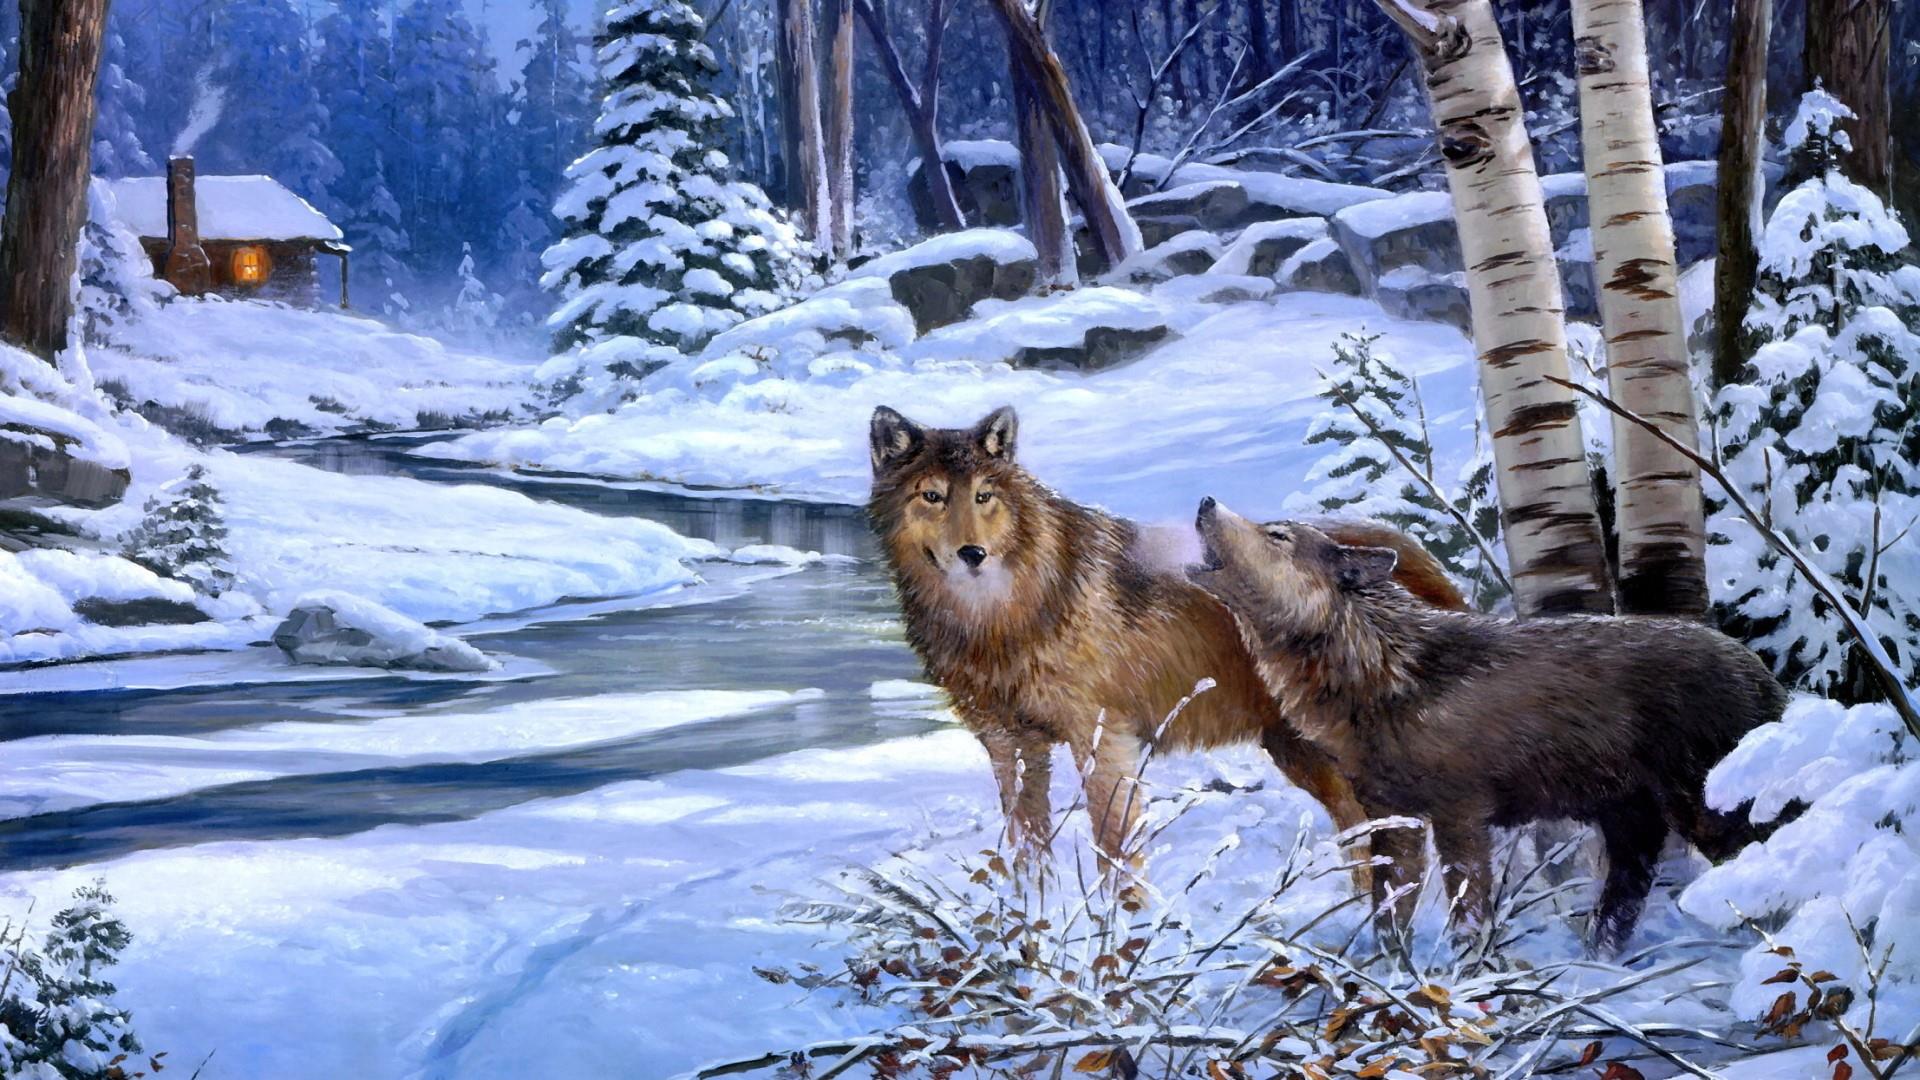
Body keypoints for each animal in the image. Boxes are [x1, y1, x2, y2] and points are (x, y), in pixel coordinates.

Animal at [867, 404, 1466, 868]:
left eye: (984, 496)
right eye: (933, 497)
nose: (972, 554)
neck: (999, 617)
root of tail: (1405, 545)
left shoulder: (1103, 742)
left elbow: (1115, 858)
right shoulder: (1008, 745)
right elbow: (1028, 859)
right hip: (1301, 756)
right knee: (1364, 846)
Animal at [1187, 498, 1788, 951]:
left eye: (1277, 534)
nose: (1205, 501)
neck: (1383, 674)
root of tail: (1764, 676)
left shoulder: (1462, 817)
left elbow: (1467, 914)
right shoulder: (1394, 818)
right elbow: (1389, 913)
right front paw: (1392, 974)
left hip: (1704, 816)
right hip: (1630, 821)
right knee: (1623, 901)